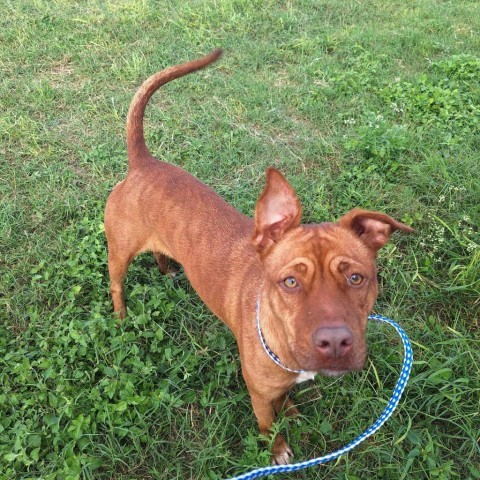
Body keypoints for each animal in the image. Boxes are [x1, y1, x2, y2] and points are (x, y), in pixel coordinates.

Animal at [104, 49, 412, 464]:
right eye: (290, 282)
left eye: (356, 277)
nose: (334, 343)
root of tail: (143, 162)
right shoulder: (258, 395)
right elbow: (268, 426)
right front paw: (277, 449)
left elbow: (285, 399)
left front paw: (292, 409)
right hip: (119, 252)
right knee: (116, 285)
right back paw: (122, 318)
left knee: (159, 256)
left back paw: (168, 271)